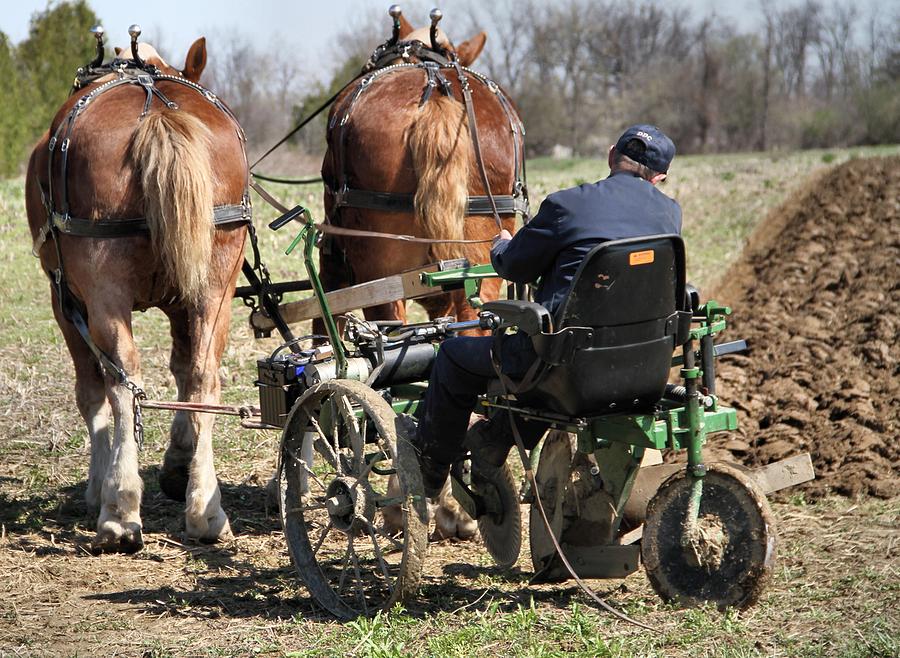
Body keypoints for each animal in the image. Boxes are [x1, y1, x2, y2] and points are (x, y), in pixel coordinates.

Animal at [25, 38, 250, 552]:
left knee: (122, 381)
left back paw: (119, 510)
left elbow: (91, 392)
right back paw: (206, 511)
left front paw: (97, 484)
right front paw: (178, 464)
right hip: (216, 284)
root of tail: (157, 111)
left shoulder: (64, 300)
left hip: (101, 293)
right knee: (205, 378)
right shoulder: (183, 300)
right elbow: (185, 371)